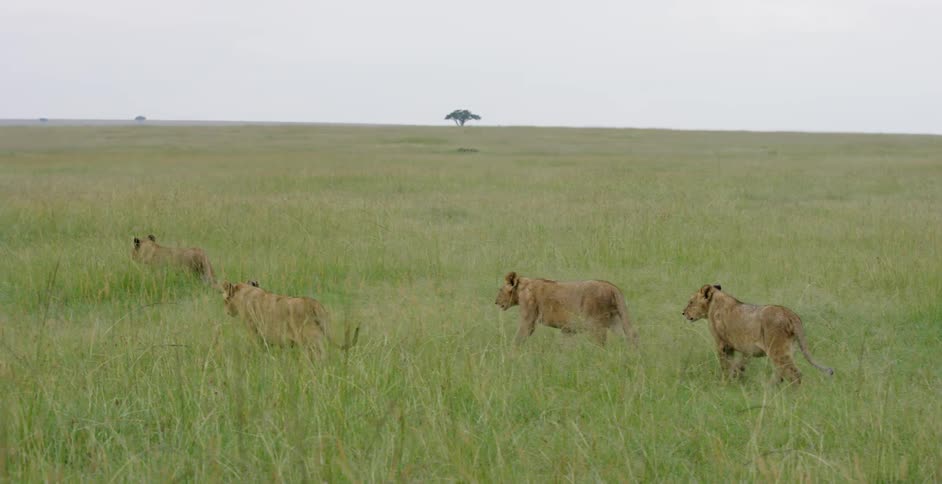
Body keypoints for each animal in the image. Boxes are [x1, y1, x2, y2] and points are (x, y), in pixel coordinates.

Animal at [495, 271, 638, 348]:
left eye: (500, 290)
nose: (495, 302)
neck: (523, 286)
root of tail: (612, 287)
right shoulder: (568, 328)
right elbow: (565, 345)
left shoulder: (528, 319)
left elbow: (519, 337)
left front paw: (511, 354)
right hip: (615, 320)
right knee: (630, 336)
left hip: (596, 324)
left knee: (601, 342)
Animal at [682, 284, 834, 384]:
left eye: (691, 302)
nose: (683, 313)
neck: (715, 300)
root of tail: (790, 314)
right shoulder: (747, 348)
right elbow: (739, 364)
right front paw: (737, 378)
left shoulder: (722, 344)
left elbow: (726, 365)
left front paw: (725, 383)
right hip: (788, 348)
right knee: (780, 373)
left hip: (777, 349)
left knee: (795, 374)